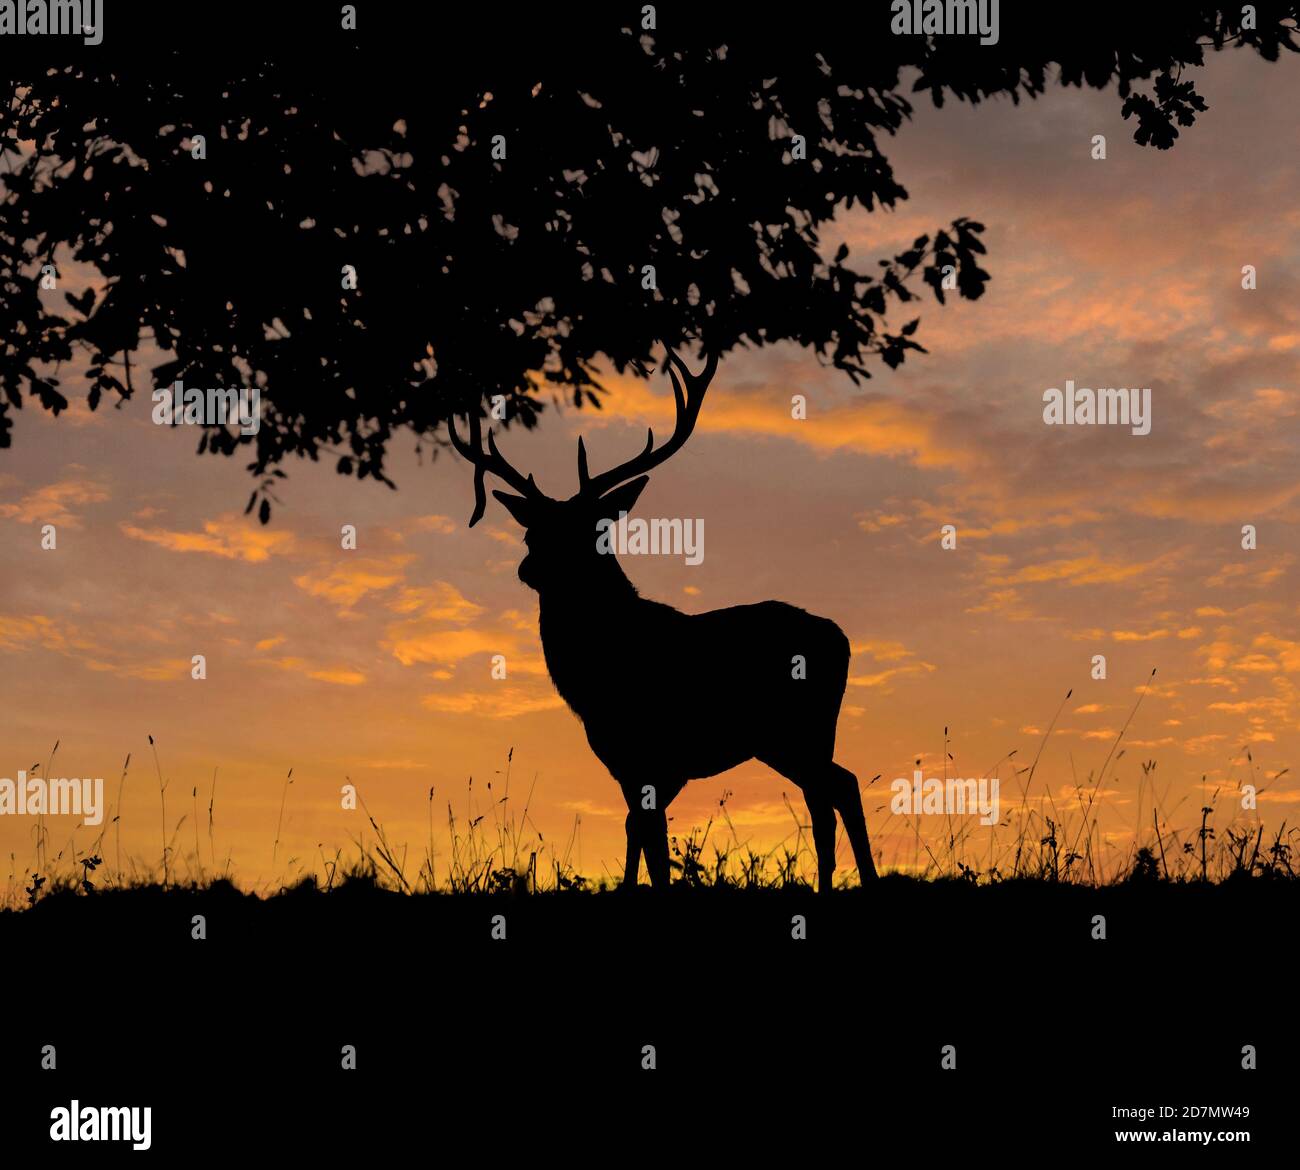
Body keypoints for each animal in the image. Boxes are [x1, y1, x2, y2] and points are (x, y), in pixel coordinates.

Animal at [447, 346, 878, 893]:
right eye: (532, 533)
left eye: (592, 529)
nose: (530, 568)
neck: (594, 685)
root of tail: (841, 639)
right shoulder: (627, 764)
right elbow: (637, 831)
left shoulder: (655, 756)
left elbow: (653, 841)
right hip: (792, 738)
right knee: (834, 790)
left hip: (797, 728)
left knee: (835, 790)